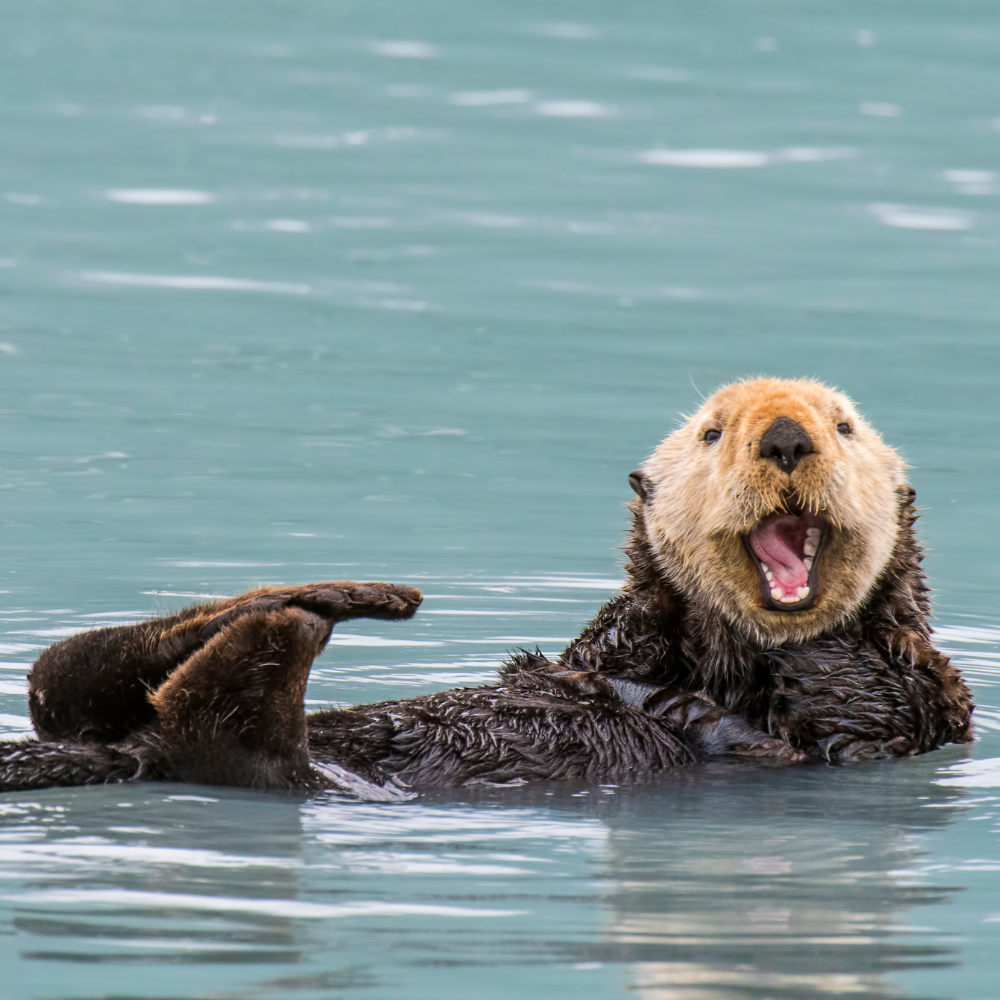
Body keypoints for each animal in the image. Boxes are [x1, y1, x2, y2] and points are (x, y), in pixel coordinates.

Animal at [0, 378, 968, 792]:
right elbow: (596, 654)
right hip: (95, 710)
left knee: (217, 724)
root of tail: (134, 753)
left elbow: (854, 706)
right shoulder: (611, 644)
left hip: (263, 762)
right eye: (712, 433)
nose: (786, 438)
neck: (726, 664)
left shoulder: (918, 704)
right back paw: (333, 594)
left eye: (843, 426)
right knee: (65, 677)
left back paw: (307, 616)